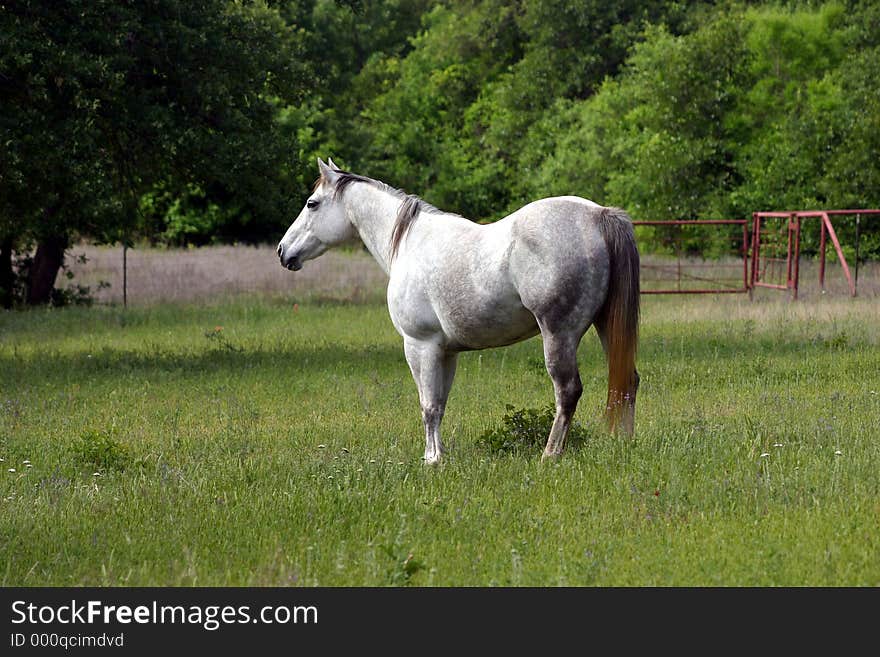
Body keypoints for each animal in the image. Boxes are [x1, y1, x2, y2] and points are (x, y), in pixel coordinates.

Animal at [276, 159, 640, 464]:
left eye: (312, 203)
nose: (282, 251)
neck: (409, 243)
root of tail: (598, 215)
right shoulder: (446, 351)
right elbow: (439, 404)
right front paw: (439, 454)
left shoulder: (419, 345)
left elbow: (427, 405)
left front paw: (431, 459)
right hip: (606, 327)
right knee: (627, 380)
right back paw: (622, 444)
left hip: (558, 334)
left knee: (568, 390)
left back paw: (550, 455)